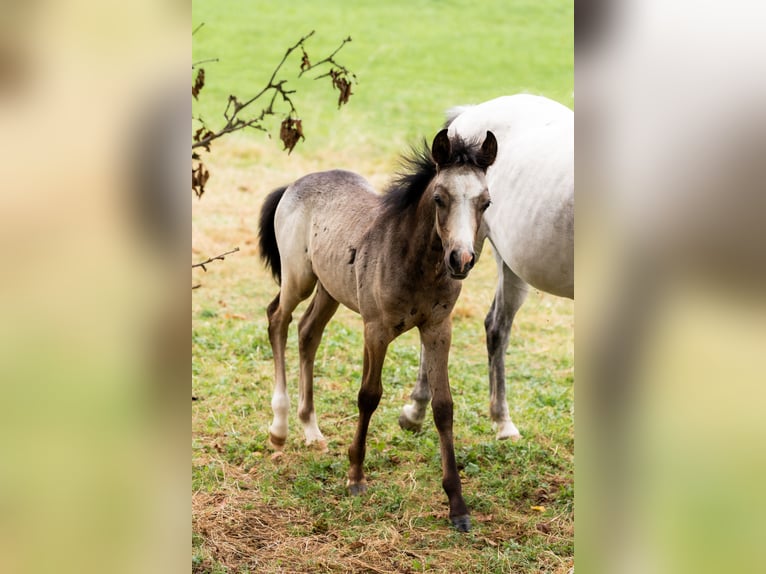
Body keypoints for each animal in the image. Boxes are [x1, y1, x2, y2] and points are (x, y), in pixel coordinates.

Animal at [258, 128, 498, 532]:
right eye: (439, 198)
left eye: (486, 202)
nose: (462, 259)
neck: (416, 262)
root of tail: (295, 183)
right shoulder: (376, 329)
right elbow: (369, 395)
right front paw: (355, 475)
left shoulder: (438, 329)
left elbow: (444, 407)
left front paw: (458, 506)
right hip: (299, 278)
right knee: (278, 319)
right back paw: (280, 429)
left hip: (330, 288)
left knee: (308, 332)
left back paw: (312, 431)